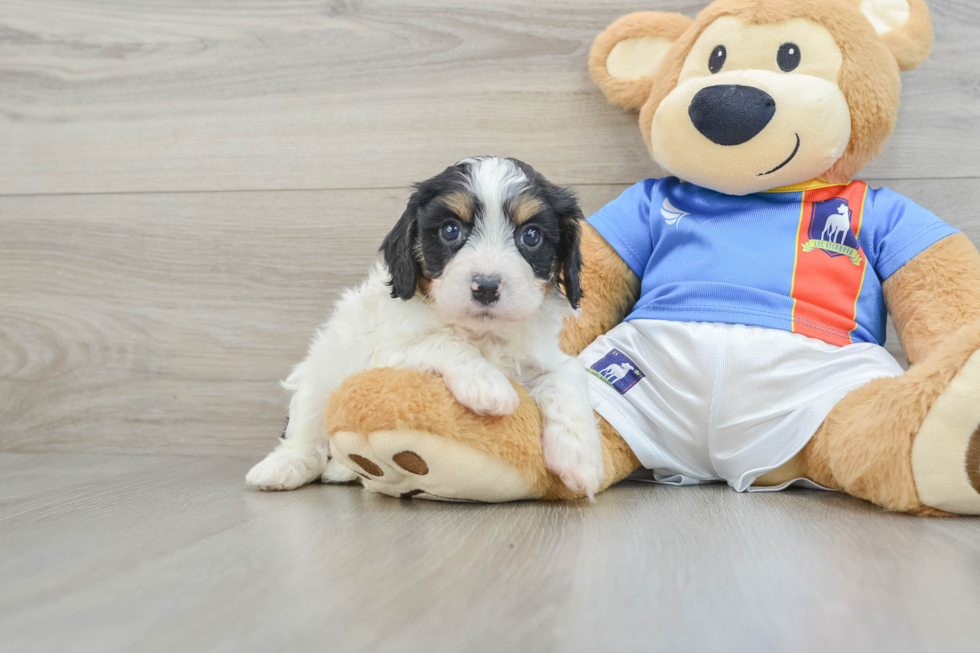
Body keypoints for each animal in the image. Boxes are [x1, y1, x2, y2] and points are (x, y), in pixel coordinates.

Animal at [247, 155, 604, 496]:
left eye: (531, 236)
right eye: (450, 231)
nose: (487, 287)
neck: (482, 332)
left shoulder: (547, 356)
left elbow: (564, 379)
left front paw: (580, 458)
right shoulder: (385, 351)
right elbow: (439, 340)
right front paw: (487, 383)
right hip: (320, 372)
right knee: (306, 430)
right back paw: (286, 466)